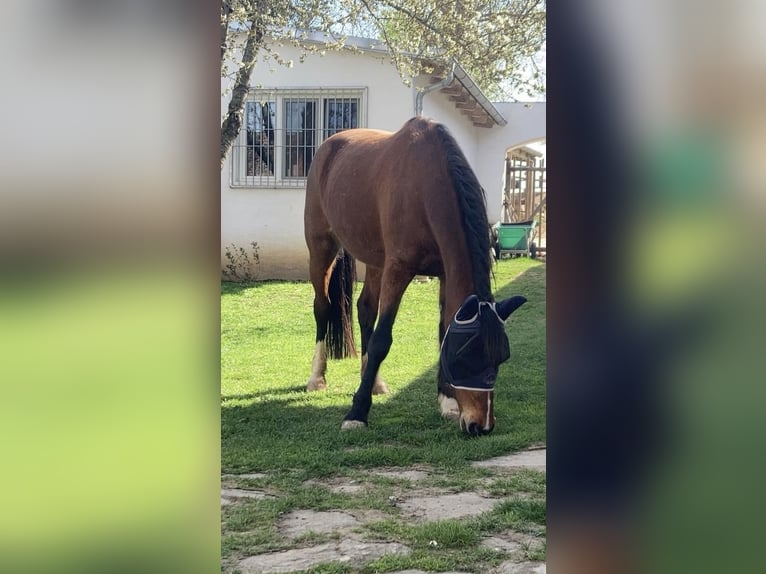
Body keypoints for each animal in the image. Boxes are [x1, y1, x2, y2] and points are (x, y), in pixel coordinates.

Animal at [306, 119, 528, 438]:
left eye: (501, 358)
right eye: (465, 357)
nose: (481, 425)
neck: (425, 186)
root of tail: (328, 146)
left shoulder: (445, 273)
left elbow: (443, 329)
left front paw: (447, 402)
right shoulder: (398, 270)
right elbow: (381, 340)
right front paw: (357, 413)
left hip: (375, 261)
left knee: (365, 309)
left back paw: (373, 381)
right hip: (321, 247)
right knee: (322, 307)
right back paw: (316, 377)